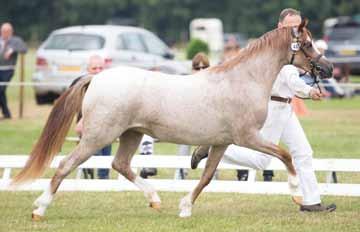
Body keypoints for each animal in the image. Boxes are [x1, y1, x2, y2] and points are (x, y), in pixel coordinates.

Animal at [11, 19, 332, 219]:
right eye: (307, 43)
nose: (327, 69)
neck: (243, 80)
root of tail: (96, 77)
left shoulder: (222, 142)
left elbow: (206, 177)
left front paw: (186, 206)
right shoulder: (247, 137)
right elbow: (285, 155)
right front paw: (296, 192)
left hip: (131, 134)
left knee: (120, 165)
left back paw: (154, 198)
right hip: (96, 137)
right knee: (65, 165)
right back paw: (39, 209)